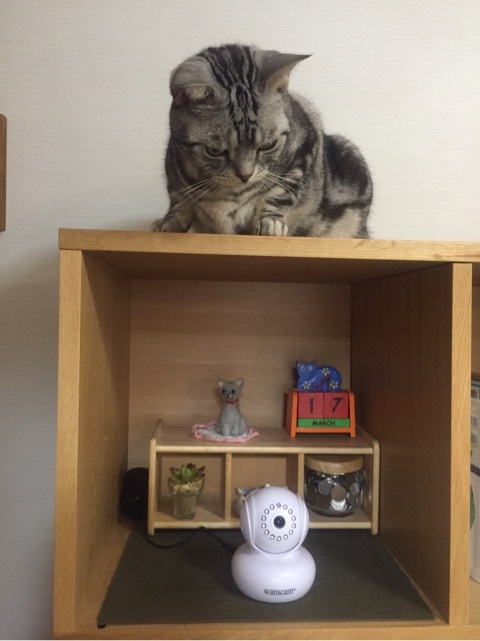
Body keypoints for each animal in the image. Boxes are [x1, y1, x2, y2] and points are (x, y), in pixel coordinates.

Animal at [152, 43, 372, 238]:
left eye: (268, 145)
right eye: (214, 151)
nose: (245, 175)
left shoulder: (303, 154)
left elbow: (279, 193)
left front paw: (270, 222)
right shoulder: (173, 169)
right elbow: (179, 198)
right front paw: (170, 221)